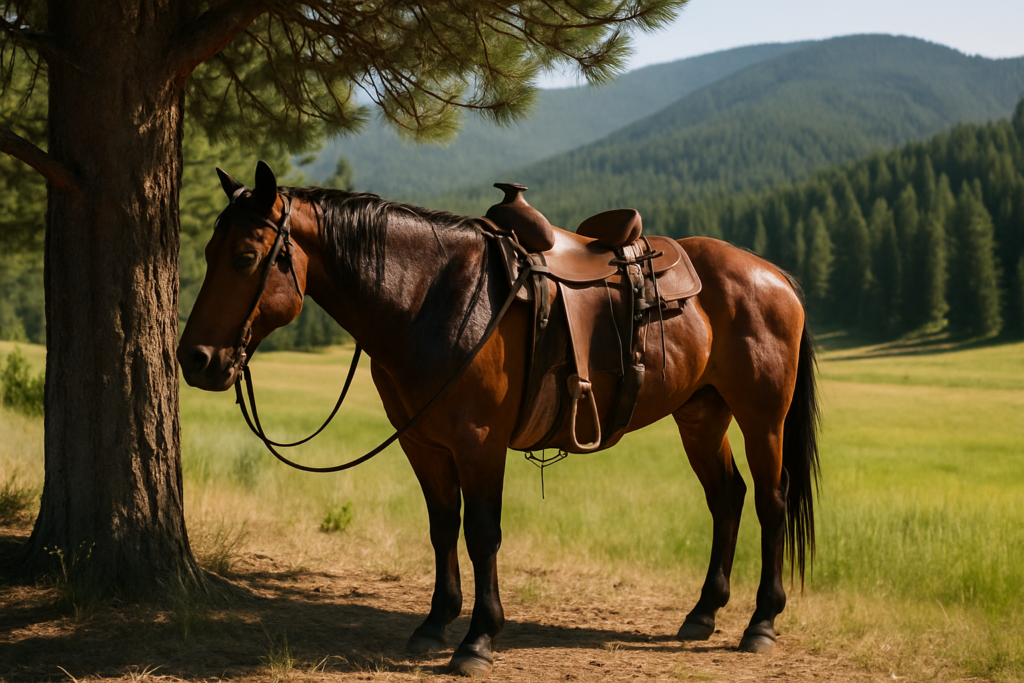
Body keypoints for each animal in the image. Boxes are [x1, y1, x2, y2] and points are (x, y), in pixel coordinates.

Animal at [177, 161, 820, 678]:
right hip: (700, 415)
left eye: (245, 257)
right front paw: (434, 624)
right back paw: (703, 612)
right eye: (208, 254)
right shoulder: (424, 445)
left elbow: (482, 532)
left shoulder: (478, 442)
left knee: (771, 500)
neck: (435, 298)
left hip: (762, 417)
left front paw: (478, 641)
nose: (195, 359)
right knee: (726, 497)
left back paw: (761, 623)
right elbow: (442, 527)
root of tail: (774, 274)